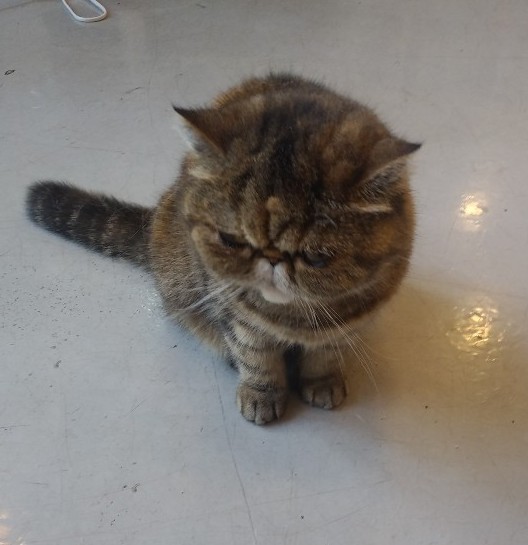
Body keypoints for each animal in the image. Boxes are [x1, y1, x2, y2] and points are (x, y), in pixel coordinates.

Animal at [26, 73, 420, 425]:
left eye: (316, 258)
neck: (291, 319)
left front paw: (322, 381)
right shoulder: (232, 310)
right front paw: (262, 394)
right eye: (232, 241)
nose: (272, 258)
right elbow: (255, 356)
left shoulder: (346, 324)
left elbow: (326, 353)